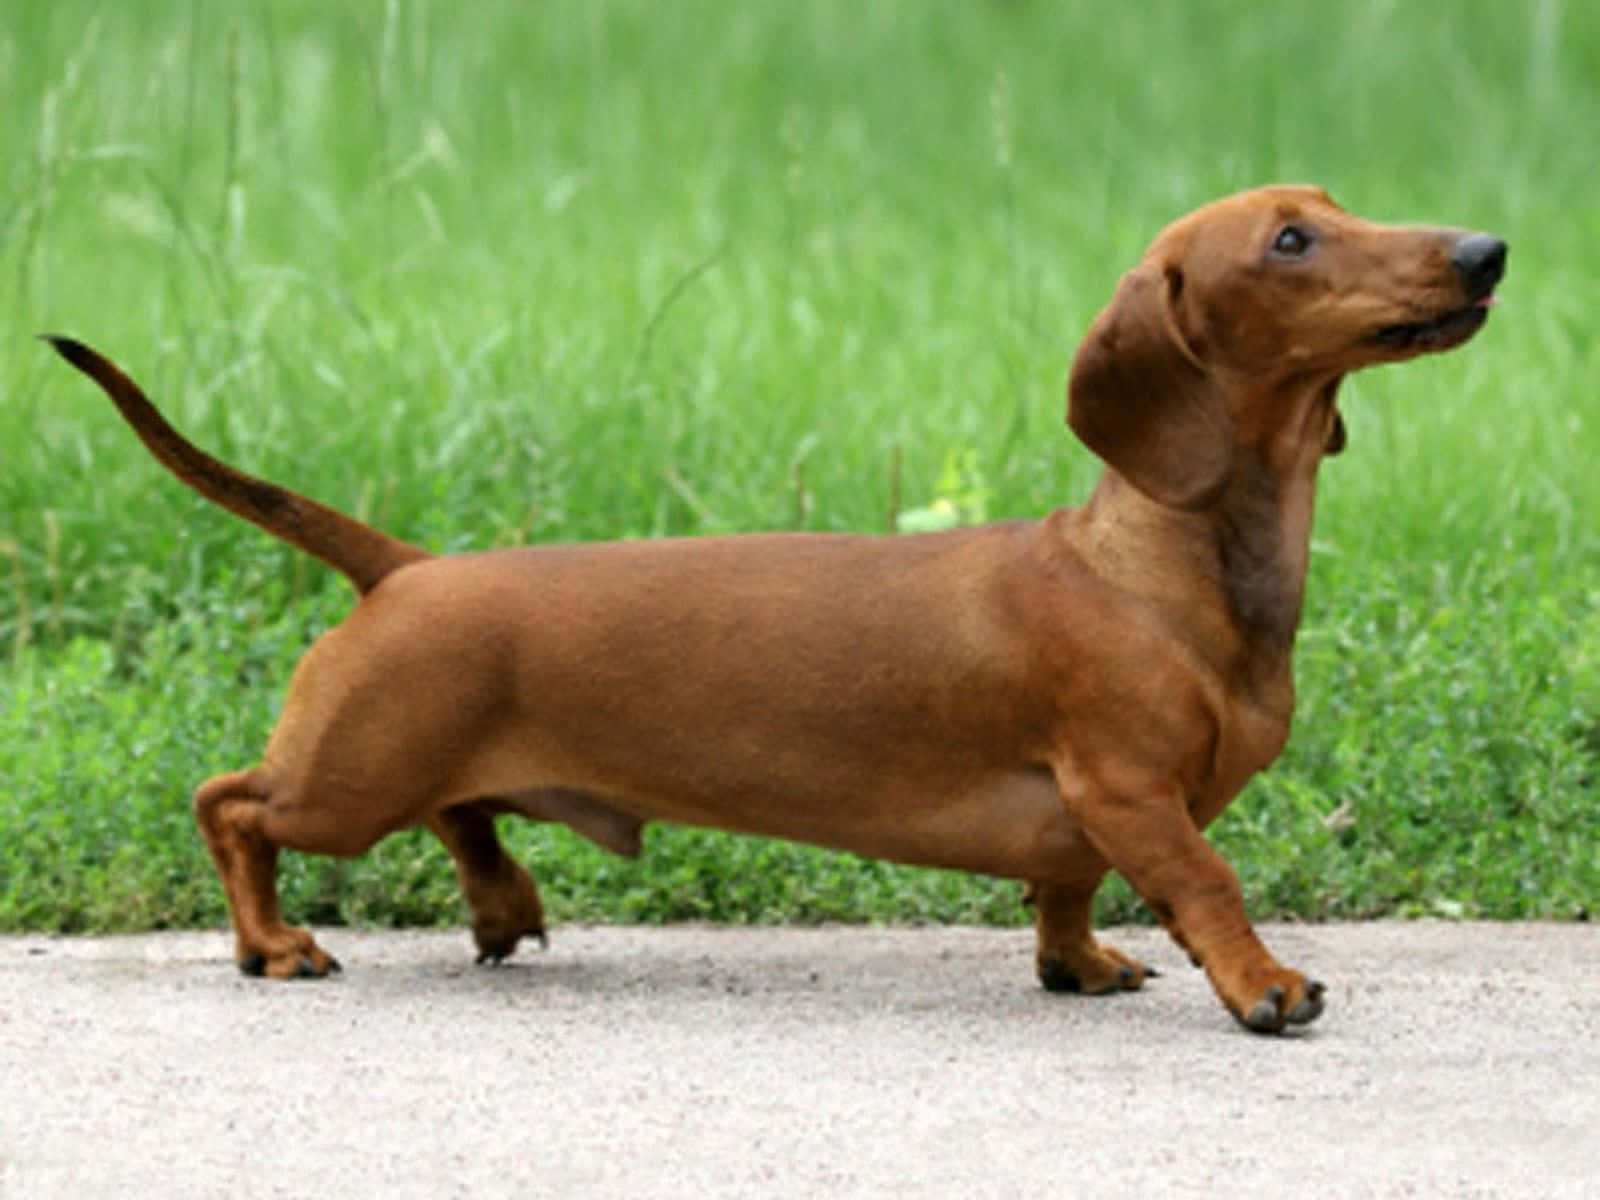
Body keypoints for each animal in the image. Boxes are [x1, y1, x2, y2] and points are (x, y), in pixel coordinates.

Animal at [50, 188, 1497, 1036]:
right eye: (1291, 239)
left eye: (1337, 206)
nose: (1486, 248)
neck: (1157, 564)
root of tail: (406, 567)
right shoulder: (1131, 786)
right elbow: (1204, 880)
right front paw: (1265, 984)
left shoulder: (1088, 816)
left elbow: (1066, 888)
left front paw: (1079, 964)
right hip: (349, 779)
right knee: (231, 804)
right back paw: (272, 943)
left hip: (401, 761)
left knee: (461, 817)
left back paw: (504, 905)